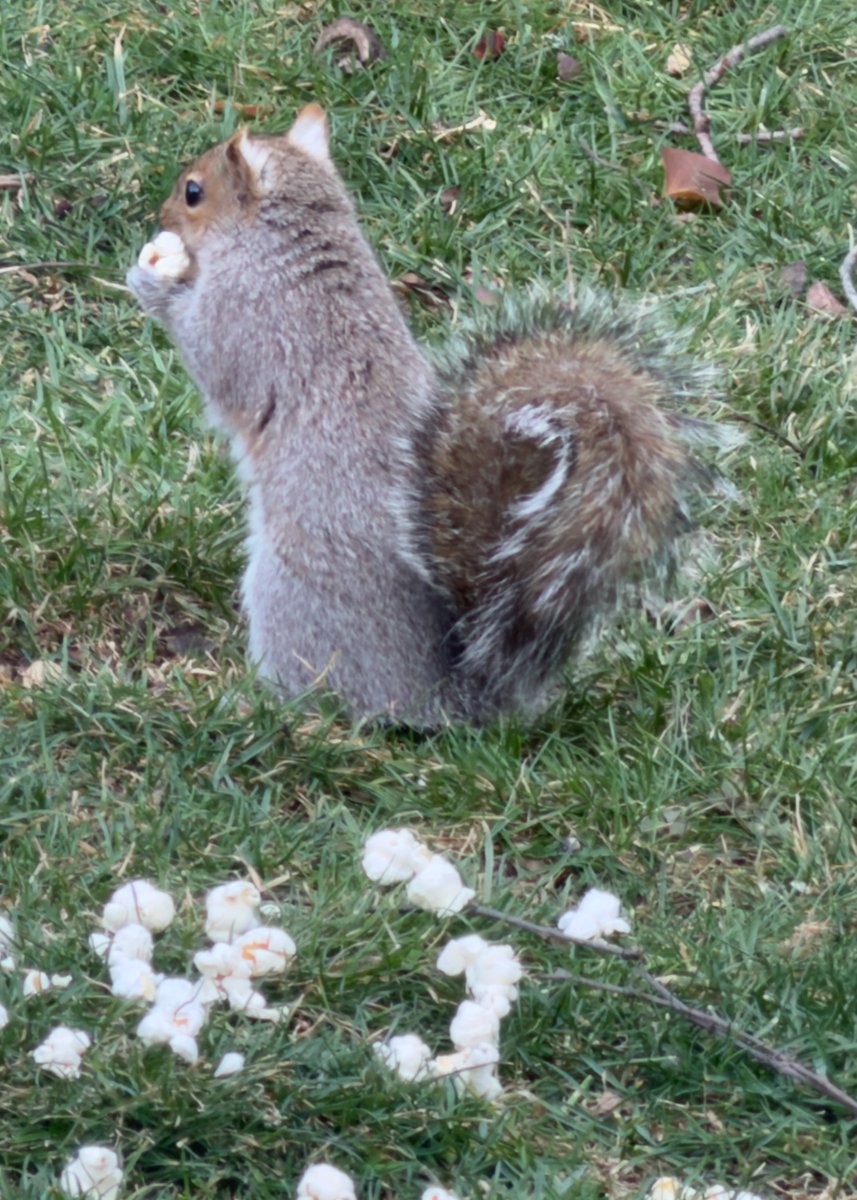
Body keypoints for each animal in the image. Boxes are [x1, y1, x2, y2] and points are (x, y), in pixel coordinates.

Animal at [127, 103, 721, 728]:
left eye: (194, 192)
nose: (161, 216)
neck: (281, 238)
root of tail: (444, 698)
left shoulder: (247, 314)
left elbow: (210, 357)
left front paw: (148, 278)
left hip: (288, 593)